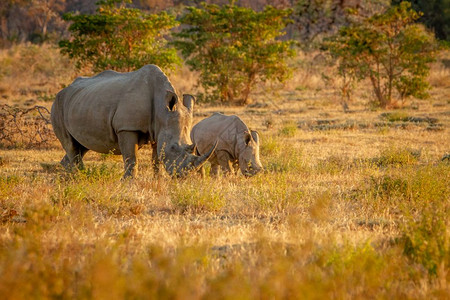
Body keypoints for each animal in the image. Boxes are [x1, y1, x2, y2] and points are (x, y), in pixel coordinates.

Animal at [50, 64, 215, 177]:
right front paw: (128, 182)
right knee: (71, 145)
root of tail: (65, 89)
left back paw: (69, 176)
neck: (162, 111)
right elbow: (131, 158)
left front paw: (158, 180)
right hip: (57, 105)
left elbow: (156, 159)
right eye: (174, 148)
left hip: (81, 102)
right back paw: (80, 176)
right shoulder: (127, 127)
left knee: (81, 145)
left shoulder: (159, 129)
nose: (186, 176)